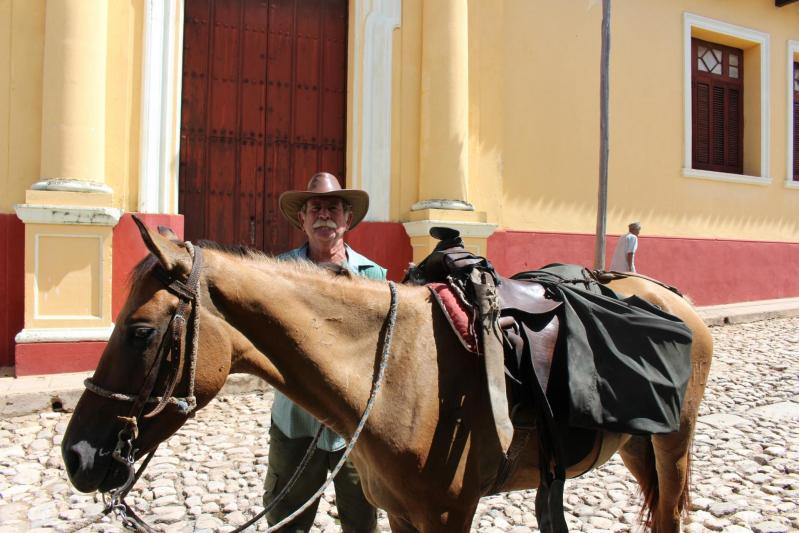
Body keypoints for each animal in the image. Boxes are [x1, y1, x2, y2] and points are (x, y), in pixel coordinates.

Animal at [62, 218, 712, 528]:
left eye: (140, 331)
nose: (76, 456)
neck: (398, 375)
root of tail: (671, 296)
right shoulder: (401, 514)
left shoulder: (448, 516)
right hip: (635, 444)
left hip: (674, 444)